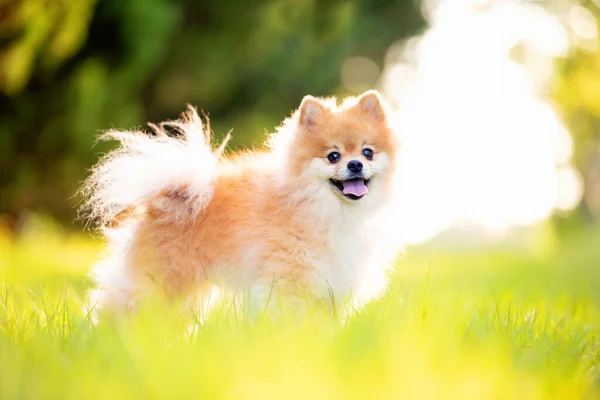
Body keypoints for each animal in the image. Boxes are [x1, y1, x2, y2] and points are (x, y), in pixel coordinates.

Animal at [79, 90, 398, 318]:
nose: (355, 164)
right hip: (162, 284)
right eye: (333, 156)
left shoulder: (333, 284)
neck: (329, 211)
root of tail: (166, 198)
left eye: (368, 152)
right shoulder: (289, 280)